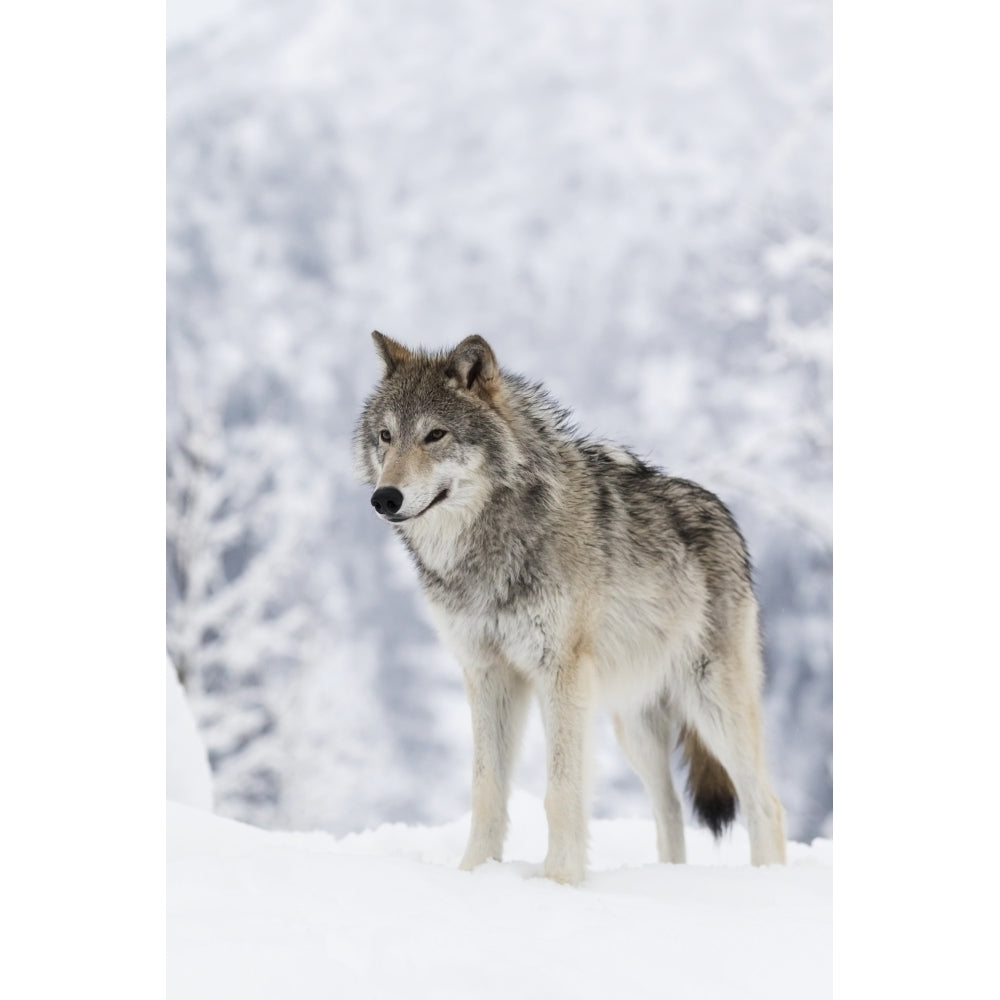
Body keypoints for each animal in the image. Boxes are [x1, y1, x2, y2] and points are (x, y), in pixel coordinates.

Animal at [356, 330, 784, 884]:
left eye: (435, 435)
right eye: (386, 436)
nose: (385, 498)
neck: (490, 546)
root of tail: (726, 516)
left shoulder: (559, 673)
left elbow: (561, 792)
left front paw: (560, 881)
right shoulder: (487, 673)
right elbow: (486, 788)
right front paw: (474, 873)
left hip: (712, 703)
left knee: (766, 803)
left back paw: (766, 880)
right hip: (634, 725)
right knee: (668, 808)